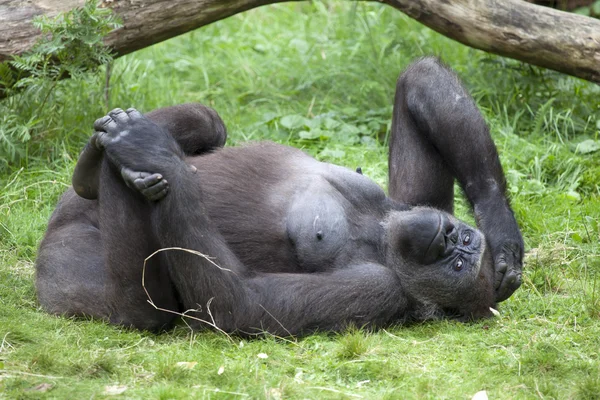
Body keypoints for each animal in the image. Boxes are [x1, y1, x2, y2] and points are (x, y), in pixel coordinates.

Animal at [36, 57, 524, 336]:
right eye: (463, 239)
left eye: (457, 266)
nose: (447, 238)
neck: (383, 236)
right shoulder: (413, 206)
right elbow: (420, 80)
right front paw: (503, 233)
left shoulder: (382, 291)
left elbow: (240, 305)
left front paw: (153, 153)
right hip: (74, 208)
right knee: (210, 123)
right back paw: (93, 165)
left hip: (71, 275)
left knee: (143, 314)